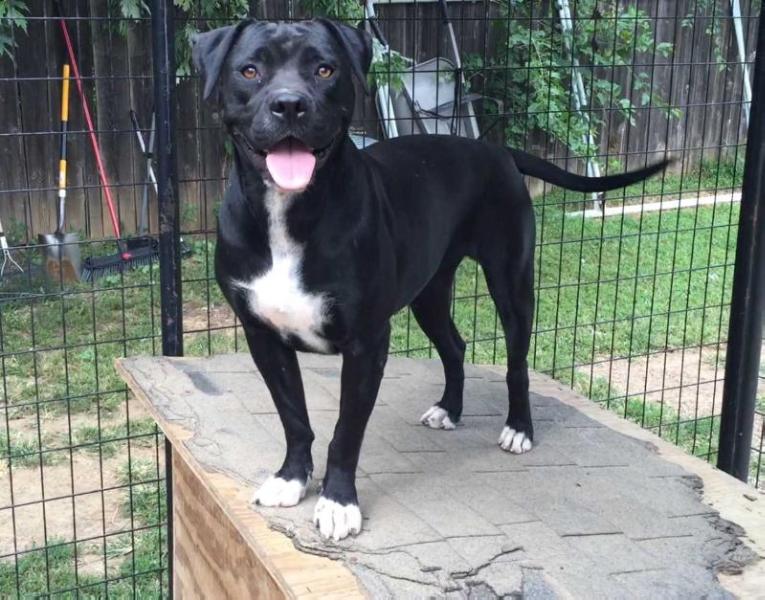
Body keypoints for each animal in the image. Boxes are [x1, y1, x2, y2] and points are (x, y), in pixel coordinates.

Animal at [194, 21, 664, 540]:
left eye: (324, 69)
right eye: (249, 70)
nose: (290, 104)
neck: (287, 211)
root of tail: (496, 149)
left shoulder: (366, 343)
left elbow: (346, 432)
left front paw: (338, 502)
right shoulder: (264, 337)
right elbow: (294, 417)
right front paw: (292, 479)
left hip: (511, 282)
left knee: (517, 362)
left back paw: (519, 428)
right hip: (430, 295)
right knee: (455, 346)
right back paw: (449, 408)